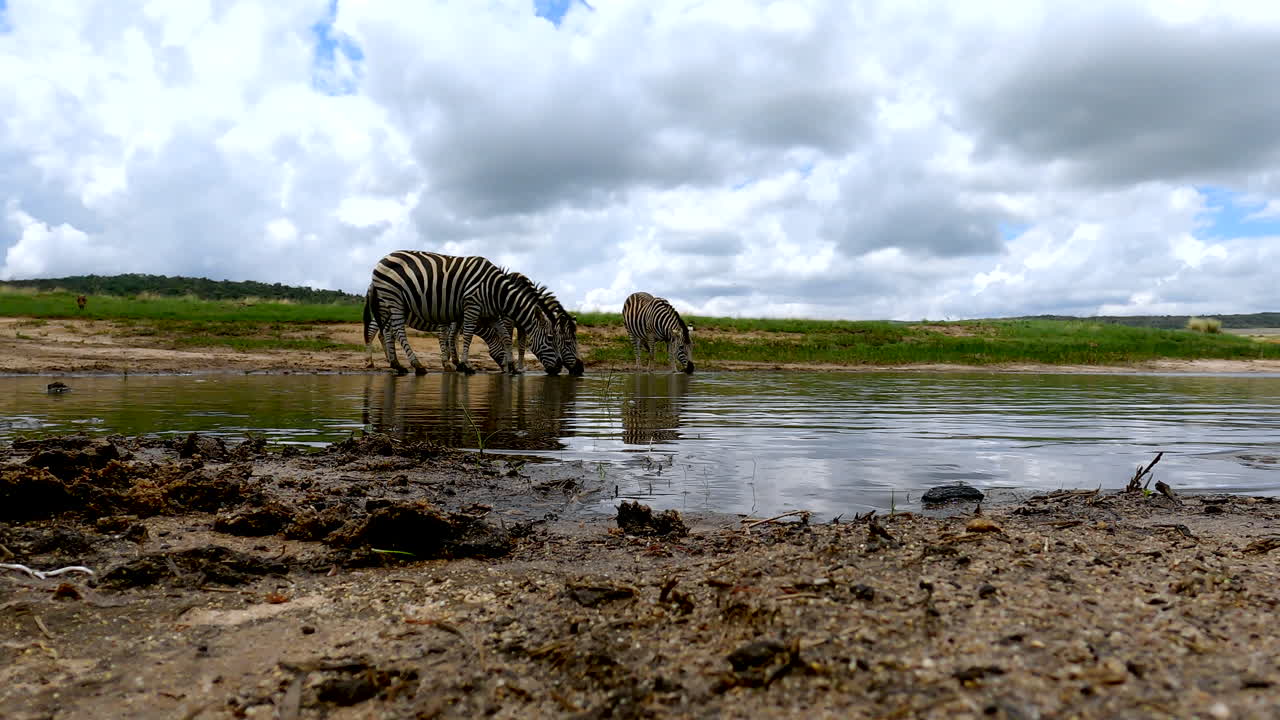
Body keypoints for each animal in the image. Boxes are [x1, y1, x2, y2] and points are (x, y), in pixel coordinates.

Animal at [367, 252, 562, 375]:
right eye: (551, 338)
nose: (560, 368)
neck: (496, 291)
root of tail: (382, 259)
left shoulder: (491, 314)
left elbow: (506, 337)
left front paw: (512, 366)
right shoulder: (471, 305)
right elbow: (466, 335)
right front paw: (465, 365)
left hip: (388, 305)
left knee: (387, 332)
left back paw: (396, 364)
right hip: (394, 300)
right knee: (396, 332)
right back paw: (416, 365)